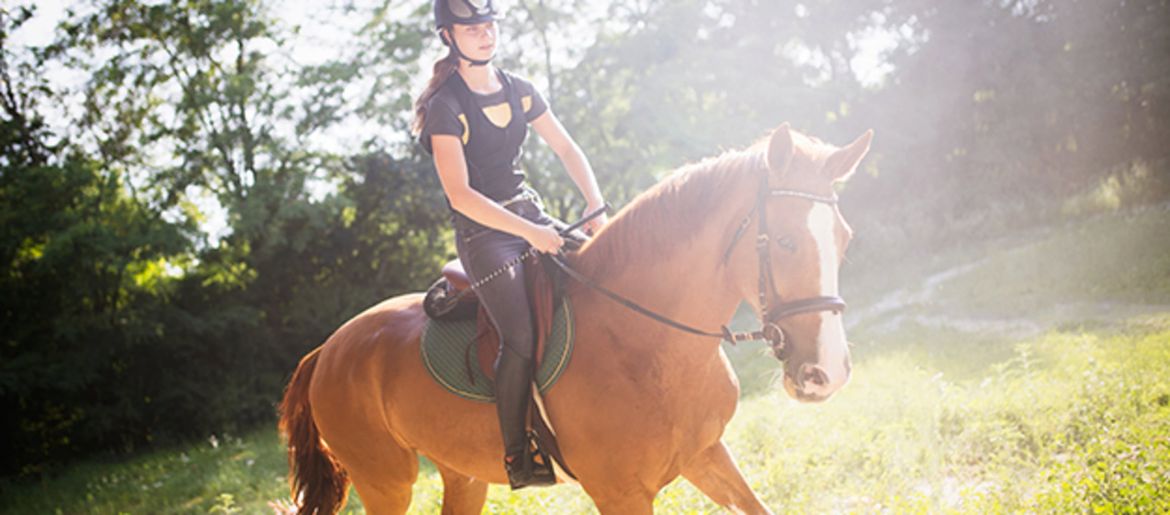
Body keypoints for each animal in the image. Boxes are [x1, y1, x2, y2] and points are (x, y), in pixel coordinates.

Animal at [280, 122, 870, 512]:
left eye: (845, 239)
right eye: (786, 241)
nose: (827, 373)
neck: (645, 342)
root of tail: (326, 351)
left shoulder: (707, 454)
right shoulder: (621, 493)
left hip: (461, 475)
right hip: (386, 482)